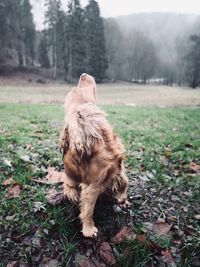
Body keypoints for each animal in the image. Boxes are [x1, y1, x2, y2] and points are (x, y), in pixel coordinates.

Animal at [59, 74, 129, 239]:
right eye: (78, 91)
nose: (83, 75)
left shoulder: (119, 169)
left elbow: (124, 182)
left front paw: (121, 198)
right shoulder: (93, 187)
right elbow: (88, 210)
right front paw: (89, 229)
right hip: (70, 176)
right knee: (67, 184)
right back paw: (72, 193)